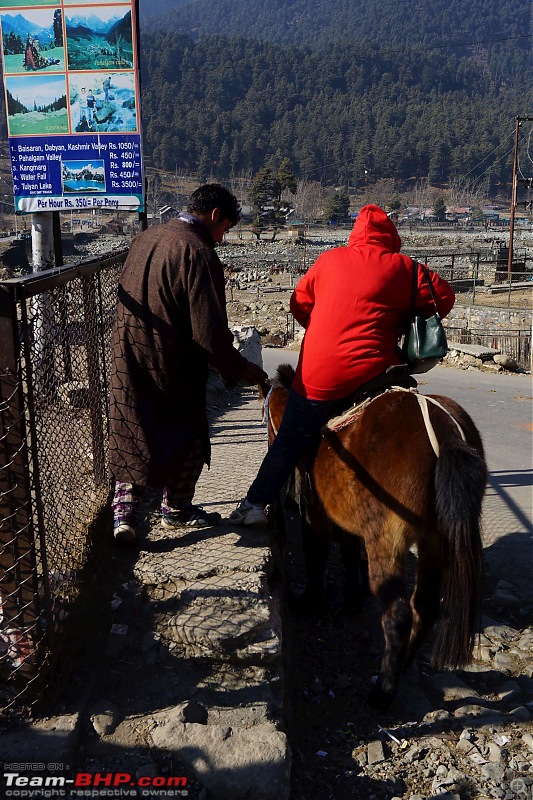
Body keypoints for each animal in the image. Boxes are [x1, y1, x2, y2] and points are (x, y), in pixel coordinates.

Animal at [266, 366, 486, 708]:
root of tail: (445, 429)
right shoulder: (351, 518)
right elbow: (349, 552)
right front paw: (353, 597)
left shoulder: (316, 511)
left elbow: (317, 551)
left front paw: (310, 599)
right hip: (434, 542)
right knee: (425, 607)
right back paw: (404, 664)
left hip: (387, 540)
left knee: (398, 615)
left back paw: (383, 690)